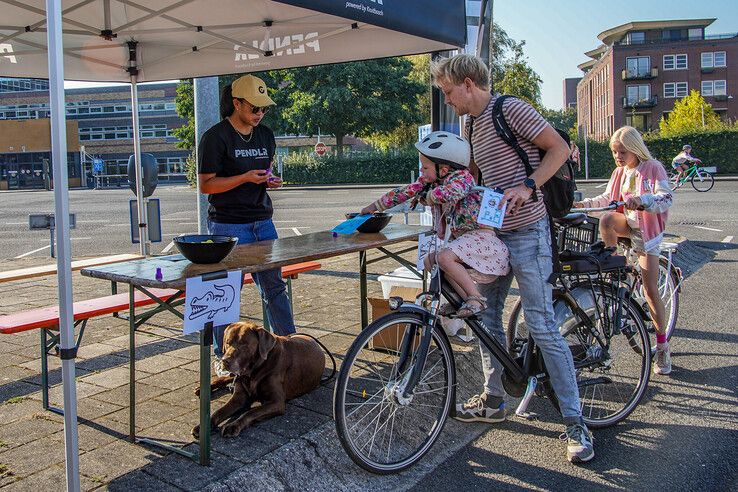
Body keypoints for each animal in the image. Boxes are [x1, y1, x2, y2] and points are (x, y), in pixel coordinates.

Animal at [191, 322, 324, 438]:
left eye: (243, 344)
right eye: (228, 342)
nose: (225, 360)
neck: (253, 372)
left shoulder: (276, 402)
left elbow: (250, 412)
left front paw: (233, 426)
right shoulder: (239, 397)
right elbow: (219, 411)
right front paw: (203, 427)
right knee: (226, 378)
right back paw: (204, 388)